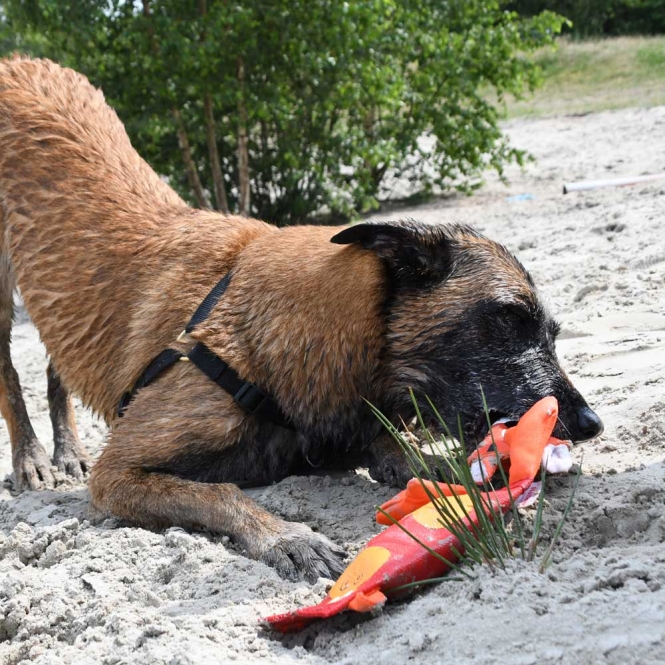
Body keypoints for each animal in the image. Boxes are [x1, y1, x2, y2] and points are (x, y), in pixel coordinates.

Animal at [0, 55, 600, 576]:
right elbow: (219, 493)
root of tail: (21, 62)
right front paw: (286, 536)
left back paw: (67, 448)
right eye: (508, 317)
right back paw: (32, 459)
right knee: (11, 372)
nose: (591, 424)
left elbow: (405, 456)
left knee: (56, 360)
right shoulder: (119, 475)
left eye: (551, 331)